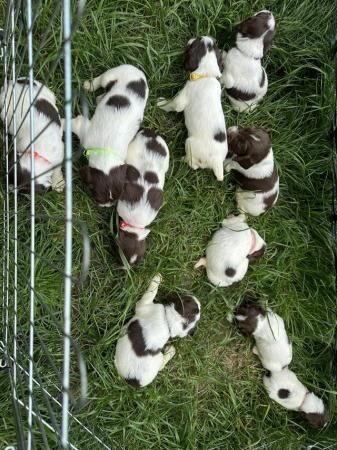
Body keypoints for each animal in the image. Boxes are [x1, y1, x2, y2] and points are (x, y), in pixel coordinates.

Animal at [71, 64, 148, 206]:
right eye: (97, 198)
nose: (107, 206)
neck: (105, 149)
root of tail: (137, 70)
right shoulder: (82, 128)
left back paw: (99, 98)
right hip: (111, 75)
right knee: (101, 79)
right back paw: (89, 85)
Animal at [157, 36, 226, 181]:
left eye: (197, 39)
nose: (191, 37)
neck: (206, 75)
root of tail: (216, 161)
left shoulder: (181, 99)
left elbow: (171, 104)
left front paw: (160, 103)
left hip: (189, 143)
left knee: (193, 165)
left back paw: (180, 159)